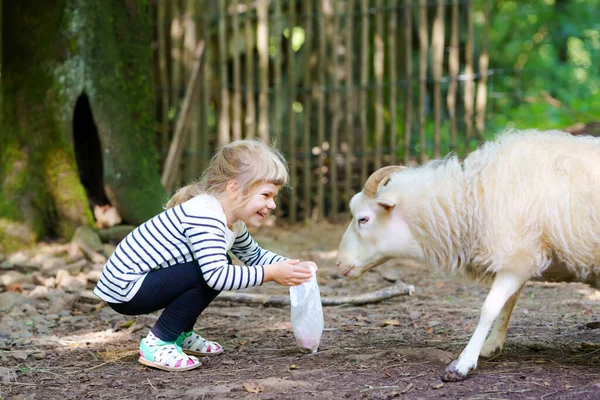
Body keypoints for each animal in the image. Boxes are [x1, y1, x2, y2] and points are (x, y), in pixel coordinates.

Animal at [336, 128, 600, 382]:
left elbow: (490, 308)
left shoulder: (518, 255)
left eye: (363, 219)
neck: (470, 201)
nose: (339, 263)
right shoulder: (519, 256)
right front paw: (491, 346)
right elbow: (508, 303)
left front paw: (463, 364)